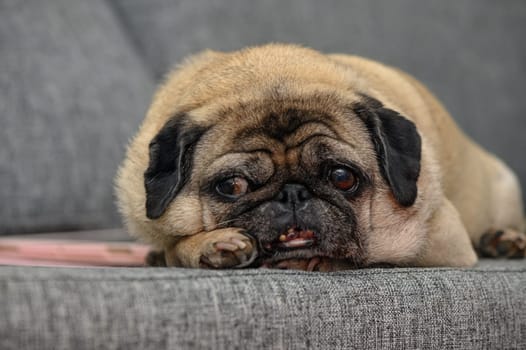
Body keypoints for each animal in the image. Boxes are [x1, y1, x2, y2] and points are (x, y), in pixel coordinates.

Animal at [114, 43, 524, 270]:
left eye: (342, 178)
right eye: (232, 186)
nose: (293, 193)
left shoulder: (443, 243)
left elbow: (370, 255)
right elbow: (172, 247)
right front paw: (209, 245)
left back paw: (504, 239)